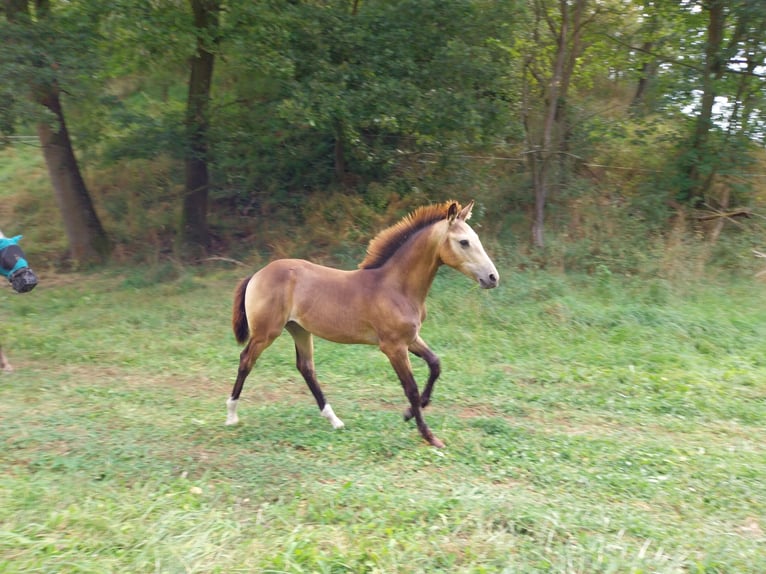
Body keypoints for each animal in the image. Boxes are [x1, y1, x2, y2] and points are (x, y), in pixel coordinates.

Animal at [226, 202, 504, 450]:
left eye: (475, 238)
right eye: (464, 242)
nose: (492, 278)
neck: (396, 286)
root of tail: (257, 274)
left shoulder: (411, 339)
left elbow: (435, 364)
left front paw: (409, 413)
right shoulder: (393, 347)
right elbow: (411, 389)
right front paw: (429, 436)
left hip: (299, 330)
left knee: (306, 368)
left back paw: (335, 421)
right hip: (266, 333)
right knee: (246, 360)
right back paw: (231, 416)